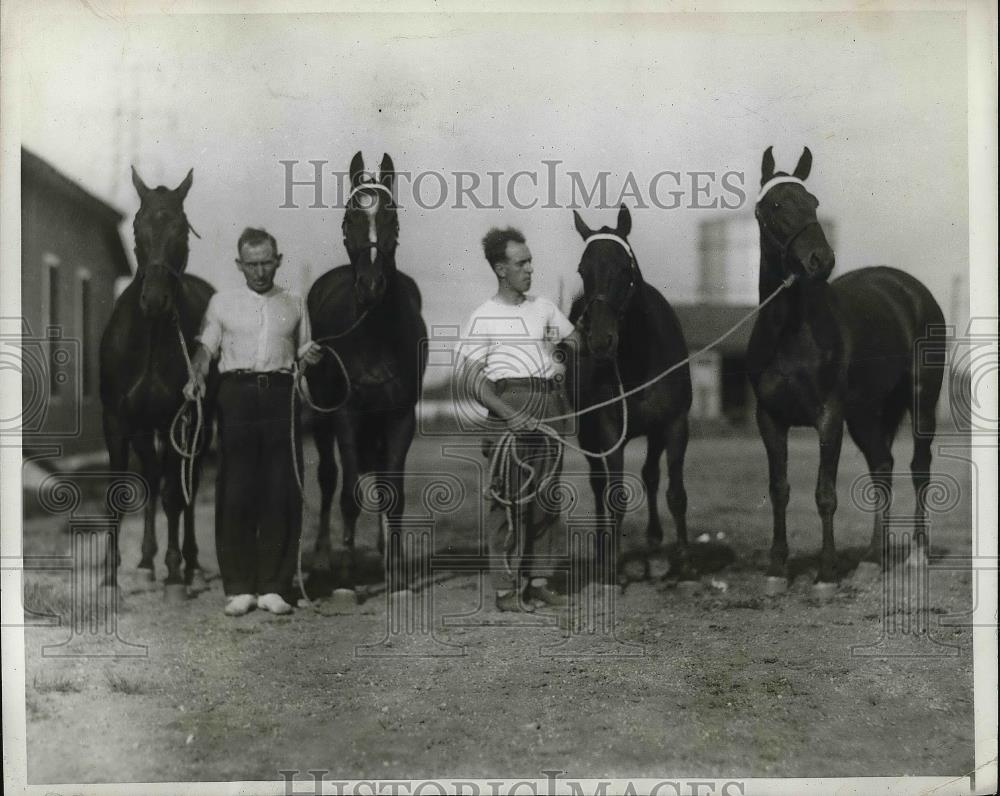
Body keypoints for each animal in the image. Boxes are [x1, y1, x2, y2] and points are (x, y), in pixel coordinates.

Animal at [98, 168, 216, 592]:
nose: (154, 300)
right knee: (152, 476)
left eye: (182, 229)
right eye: (136, 227)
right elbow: (119, 493)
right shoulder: (118, 421)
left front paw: (175, 566)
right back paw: (147, 559)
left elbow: (174, 496)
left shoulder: (177, 420)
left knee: (188, 482)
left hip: (199, 425)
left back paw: (189, 560)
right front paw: (110, 573)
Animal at [302, 152, 424, 592]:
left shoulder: (401, 415)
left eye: (391, 214)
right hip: (320, 419)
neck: (373, 332)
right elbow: (348, 494)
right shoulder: (345, 415)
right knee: (328, 478)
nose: (371, 286)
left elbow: (395, 492)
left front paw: (398, 573)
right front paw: (346, 577)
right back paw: (324, 557)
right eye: (350, 215)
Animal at [572, 205, 696, 584]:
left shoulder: (674, 424)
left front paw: (683, 560)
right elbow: (615, 494)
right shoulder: (609, 430)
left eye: (624, 269)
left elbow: (674, 492)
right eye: (582, 270)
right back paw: (603, 548)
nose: (600, 340)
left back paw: (654, 545)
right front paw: (612, 563)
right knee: (598, 483)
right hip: (587, 433)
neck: (640, 358)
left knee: (651, 476)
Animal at [752, 148, 944, 592]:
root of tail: (911, 290)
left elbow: (825, 494)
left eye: (813, 202)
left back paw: (917, 555)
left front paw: (825, 575)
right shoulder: (769, 419)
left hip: (921, 401)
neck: (788, 334)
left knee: (918, 467)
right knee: (882, 466)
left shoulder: (829, 417)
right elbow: (779, 488)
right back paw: (873, 559)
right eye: (775, 205)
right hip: (866, 413)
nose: (821, 260)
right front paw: (776, 571)